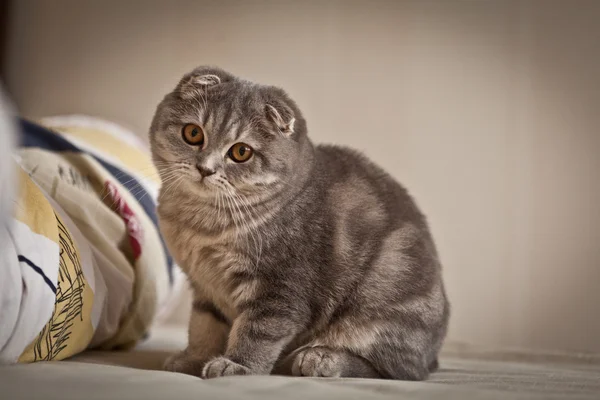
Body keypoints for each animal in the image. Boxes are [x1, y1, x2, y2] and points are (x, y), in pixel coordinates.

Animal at [150, 67, 450, 380]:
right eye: (193, 133)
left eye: (241, 152)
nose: (205, 169)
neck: (200, 227)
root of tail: (433, 355)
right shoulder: (205, 289)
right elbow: (202, 327)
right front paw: (193, 358)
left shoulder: (279, 290)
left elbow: (256, 333)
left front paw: (237, 365)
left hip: (385, 299)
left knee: (395, 370)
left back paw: (319, 358)